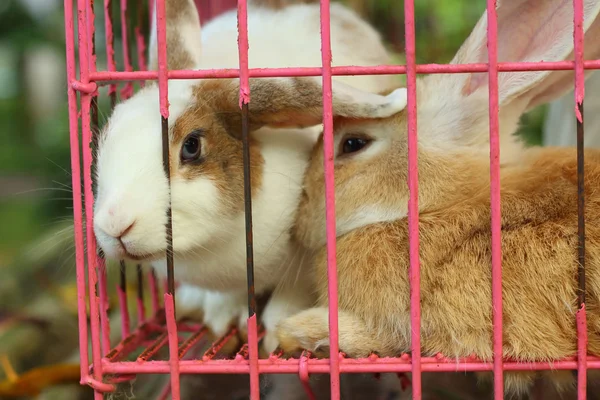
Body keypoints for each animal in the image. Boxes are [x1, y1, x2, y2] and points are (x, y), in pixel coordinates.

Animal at [94, 0, 400, 352]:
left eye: (192, 146)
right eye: (106, 134)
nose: (114, 225)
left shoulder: (306, 258)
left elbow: (290, 292)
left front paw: (273, 333)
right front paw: (222, 318)